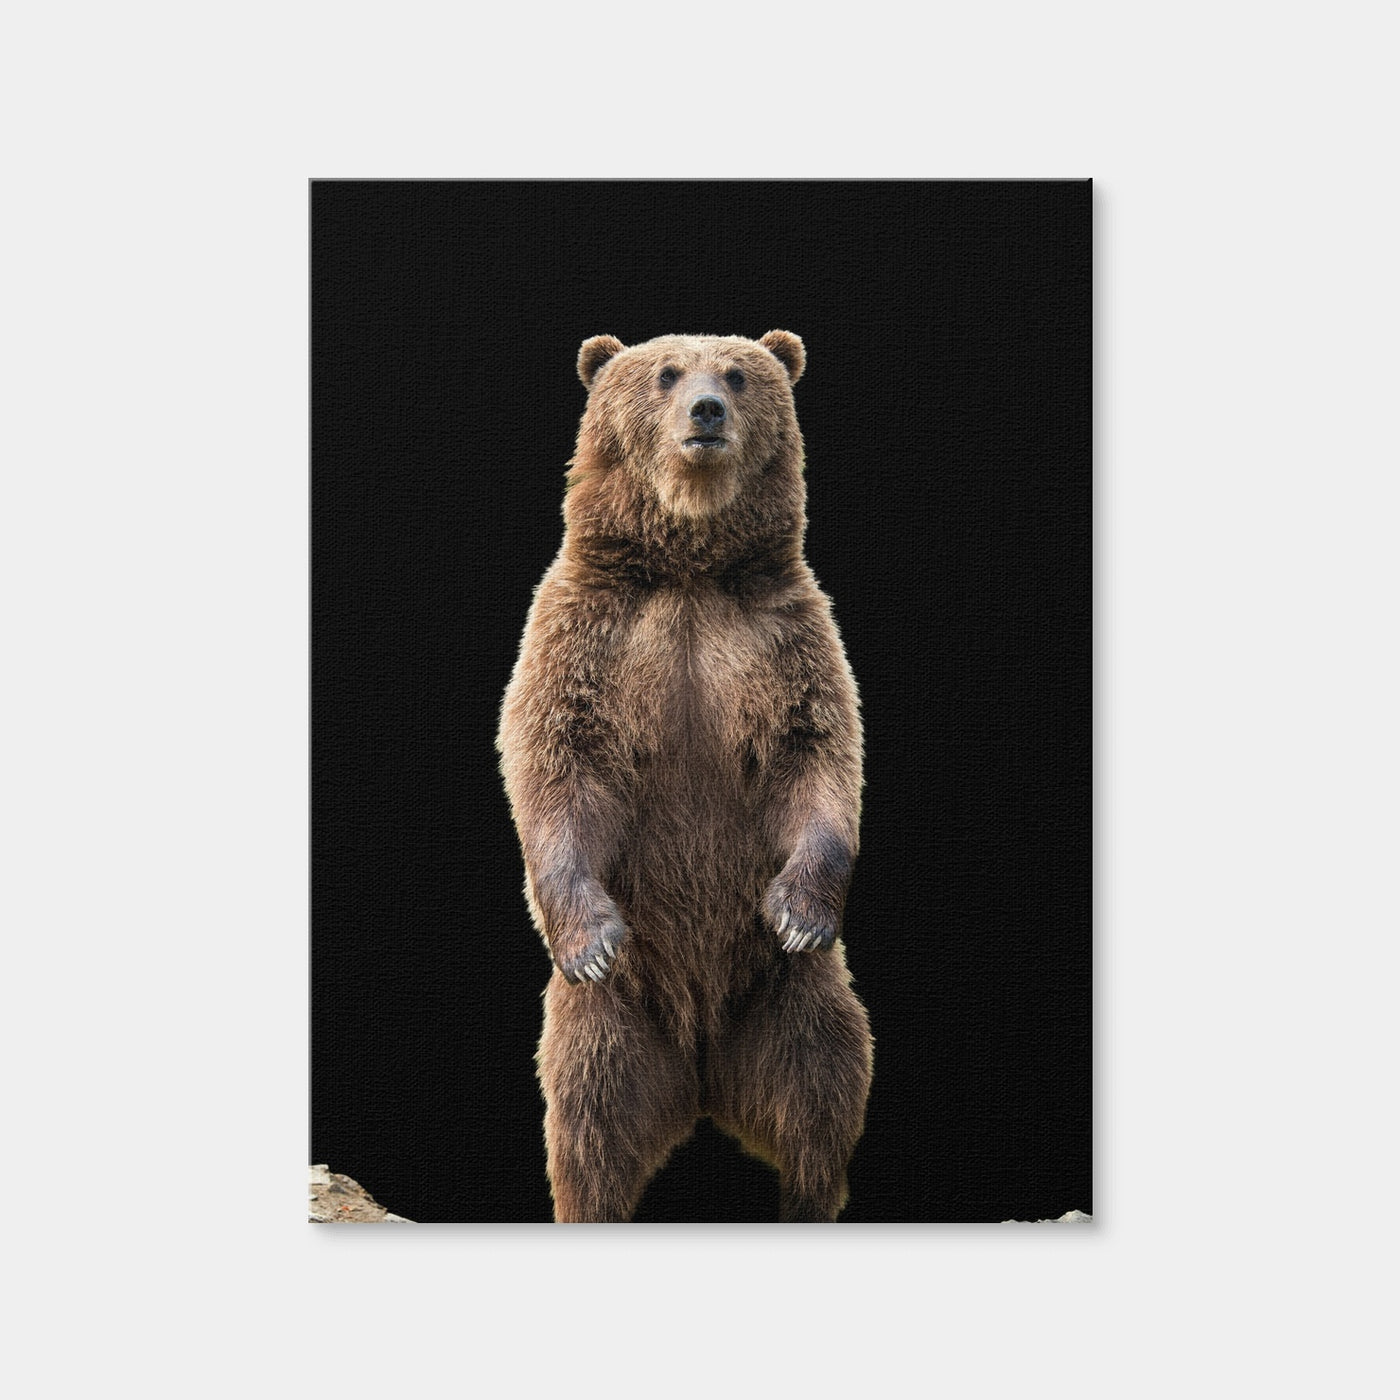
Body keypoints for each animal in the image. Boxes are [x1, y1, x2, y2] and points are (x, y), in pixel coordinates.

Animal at [497, 330, 872, 1222]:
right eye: (666, 373)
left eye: (737, 374)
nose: (706, 410)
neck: (689, 569)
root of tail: (701, 1077)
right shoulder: (588, 634)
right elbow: (558, 765)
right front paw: (592, 938)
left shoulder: (781, 637)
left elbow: (818, 758)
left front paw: (799, 912)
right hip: (614, 1023)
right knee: (589, 1123)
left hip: (789, 1000)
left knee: (823, 1092)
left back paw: (807, 1197)